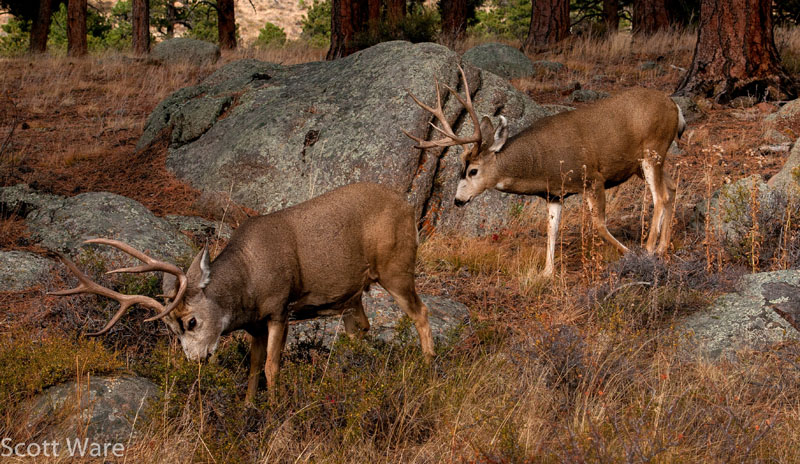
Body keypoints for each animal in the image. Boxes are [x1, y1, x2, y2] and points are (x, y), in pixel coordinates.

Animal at [50, 182, 435, 404]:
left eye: (191, 321)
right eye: (171, 330)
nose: (196, 360)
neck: (248, 279)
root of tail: (407, 205)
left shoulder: (279, 309)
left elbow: (271, 366)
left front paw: (277, 410)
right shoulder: (255, 325)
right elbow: (252, 367)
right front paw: (248, 407)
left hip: (397, 267)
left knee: (421, 312)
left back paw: (429, 364)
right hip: (352, 294)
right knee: (361, 329)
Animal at [404, 66, 686, 276]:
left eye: (473, 171)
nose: (458, 200)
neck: (540, 164)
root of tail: (675, 107)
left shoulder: (593, 177)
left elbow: (598, 224)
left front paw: (628, 254)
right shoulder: (554, 194)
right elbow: (551, 230)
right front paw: (547, 272)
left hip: (652, 150)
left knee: (660, 196)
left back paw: (649, 249)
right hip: (644, 162)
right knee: (672, 188)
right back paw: (663, 247)